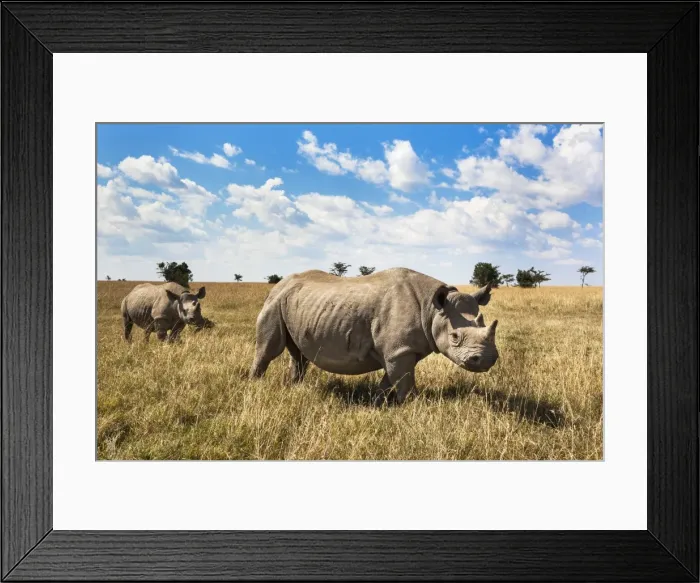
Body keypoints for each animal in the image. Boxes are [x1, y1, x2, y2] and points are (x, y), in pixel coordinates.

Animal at [249, 268, 498, 404]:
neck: (432, 309)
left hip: (297, 304)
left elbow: (390, 380)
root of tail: (278, 285)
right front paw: (415, 409)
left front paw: (377, 404)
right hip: (275, 302)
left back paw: (296, 388)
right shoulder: (400, 351)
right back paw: (255, 385)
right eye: (454, 336)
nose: (486, 360)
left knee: (298, 353)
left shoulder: (399, 350)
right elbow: (404, 383)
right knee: (268, 349)